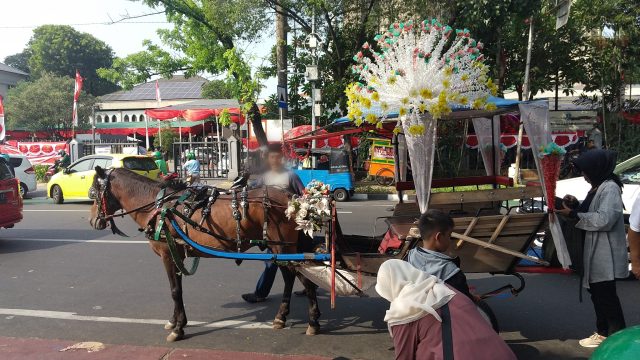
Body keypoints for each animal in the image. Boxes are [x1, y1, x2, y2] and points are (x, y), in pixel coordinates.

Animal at [86, 167, 320, 342]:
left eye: (94, 192)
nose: (93, 221)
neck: (158, 206)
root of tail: (291, 198)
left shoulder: (167, 255)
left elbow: (174, 291)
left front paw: (178, 329)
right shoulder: (176, 254)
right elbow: (177, 289)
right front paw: (175, 321)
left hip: (283, 248)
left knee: (303, 280)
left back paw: (312, 321)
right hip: (277, 249)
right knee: (290, 278)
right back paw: (283, 317)